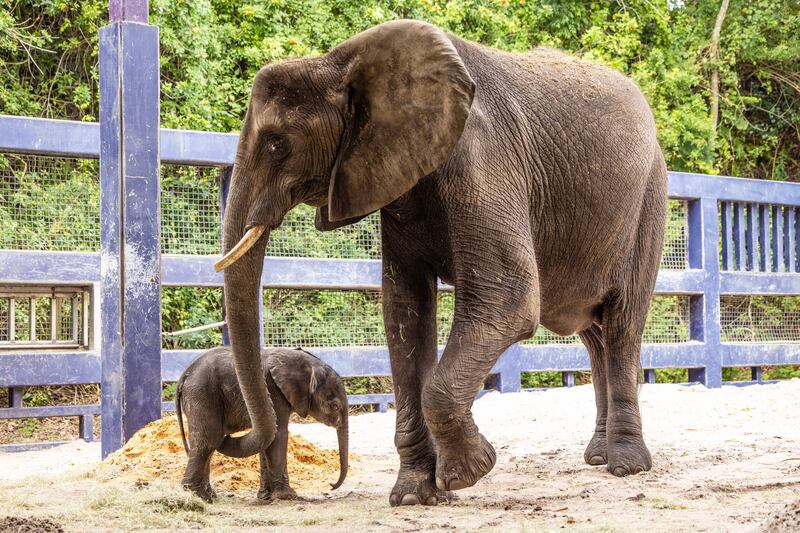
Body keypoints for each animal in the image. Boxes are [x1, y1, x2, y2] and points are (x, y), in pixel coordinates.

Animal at [175, 347, 348, 502]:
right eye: (335, 406)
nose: (331, 486)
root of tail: (184, 375)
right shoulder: (273, 391)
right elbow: (278, 435)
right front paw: (287, 496)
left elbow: (268, 441)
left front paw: (265, 497)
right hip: (202, 394)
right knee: (208, 440)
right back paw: (198, 497)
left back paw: (209, 496)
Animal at [214, 19, 667, 507]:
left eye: (277, 143)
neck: (340, 62)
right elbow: (404, 313)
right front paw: (416, 495)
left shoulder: (483, 161)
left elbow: (507, 301)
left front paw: (469, 472)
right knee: (593, 332)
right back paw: (598, 457)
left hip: (648, 199)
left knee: (621, 324)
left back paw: (625, 467)